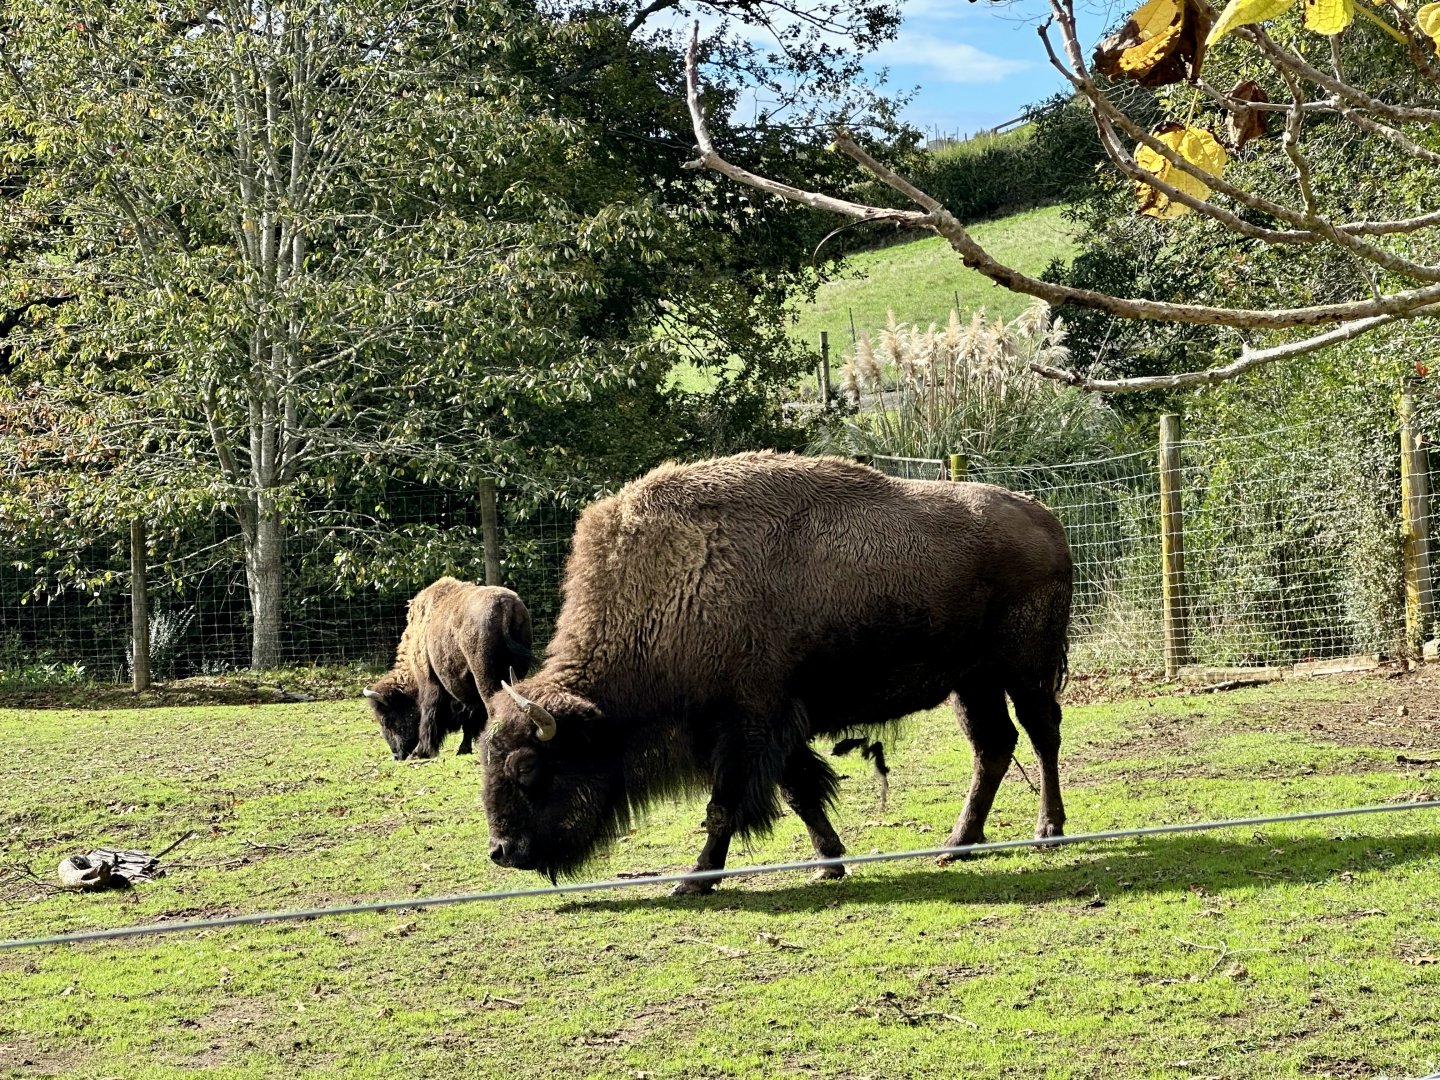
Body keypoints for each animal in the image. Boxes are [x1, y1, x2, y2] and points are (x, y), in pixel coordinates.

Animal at [364, 577, 533, 760]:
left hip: (486, 679)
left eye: (387, 719)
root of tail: (505, 604)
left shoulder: (430, 683)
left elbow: (429, 715)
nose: (397, 755)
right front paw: (463, 748)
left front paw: (420, 752)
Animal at [482, 451, 1072, 892]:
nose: (503, 851)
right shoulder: (774, 730)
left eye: (528, 766)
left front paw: (694, 880)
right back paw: (956, 846)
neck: (678, 586)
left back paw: (1047, 829)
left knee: (1041, 733)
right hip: (971, 681)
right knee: (992, 747)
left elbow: (724, 807)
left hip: (1025, 668)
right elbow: (801, 793)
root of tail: (1045, 518)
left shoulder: (748, 726)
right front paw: (830, 862)